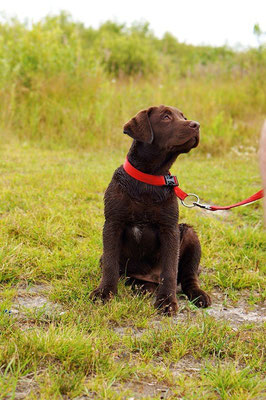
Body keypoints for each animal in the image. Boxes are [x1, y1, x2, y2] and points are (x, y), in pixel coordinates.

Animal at [91, 104, 212, 314]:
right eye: (166, 117)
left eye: (184, 117)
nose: (196, 125)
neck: (149, 178)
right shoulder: (112, 224)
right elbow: (110, 265)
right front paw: (105, 293)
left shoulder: (169, 229)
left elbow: (169, 271)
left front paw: (167, 301)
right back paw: (142, 287)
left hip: (189, 234)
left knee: (187, 277)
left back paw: (198, 294)